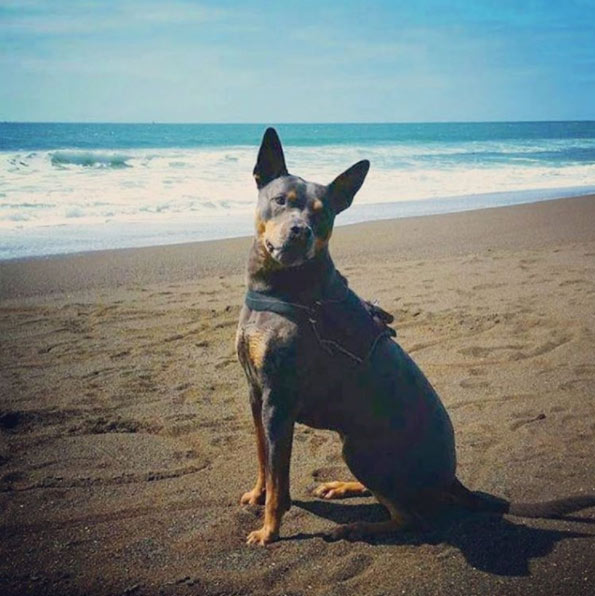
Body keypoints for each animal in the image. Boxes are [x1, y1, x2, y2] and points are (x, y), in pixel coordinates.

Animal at [236, 128, 595, 548]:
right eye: (281, 201)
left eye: (322, 214)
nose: (300, 231)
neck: (280, 290)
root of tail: (453, 480)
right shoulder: (257, 393)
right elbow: (263, 458)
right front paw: (258, 494)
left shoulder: (279, 401)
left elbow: (280, 481)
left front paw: (269, 529)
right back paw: (345, 487)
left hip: (361, 449)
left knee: (409, 518)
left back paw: (356, 527)